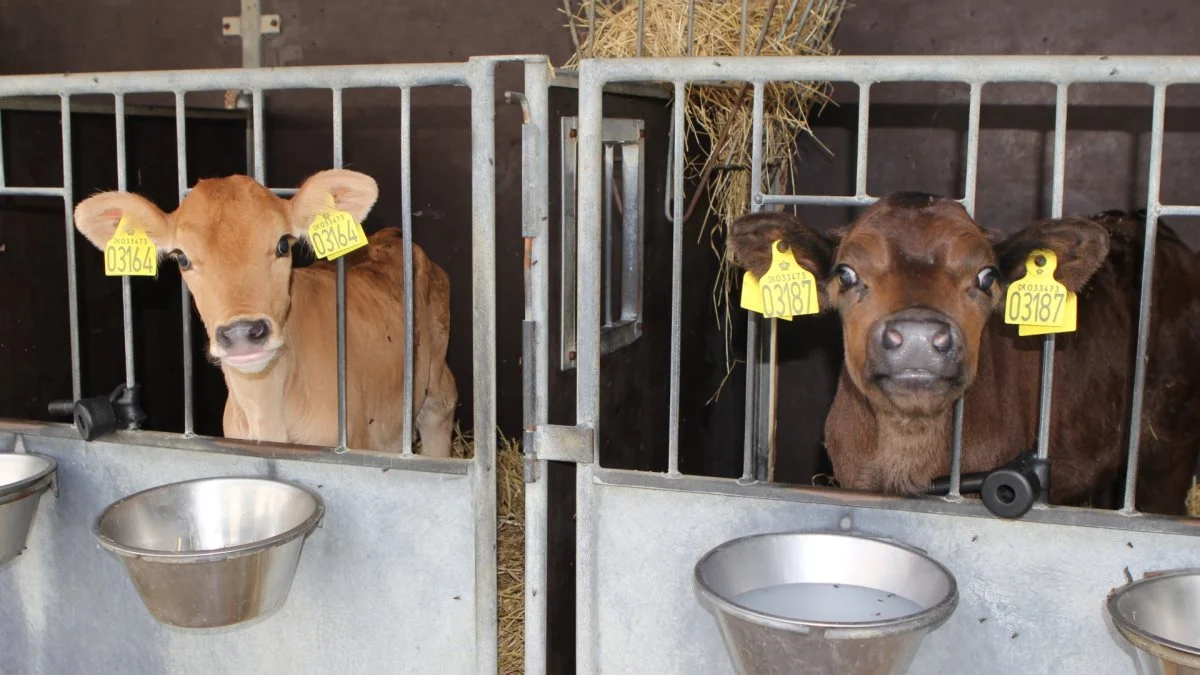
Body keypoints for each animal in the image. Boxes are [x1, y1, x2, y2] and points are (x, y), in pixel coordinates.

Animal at [71, 168, 453, 454]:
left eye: (283, 244)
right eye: (181, 257)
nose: (242, 333)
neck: (268, 413)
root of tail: (389, 235)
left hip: (436, 376)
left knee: (440, 409)